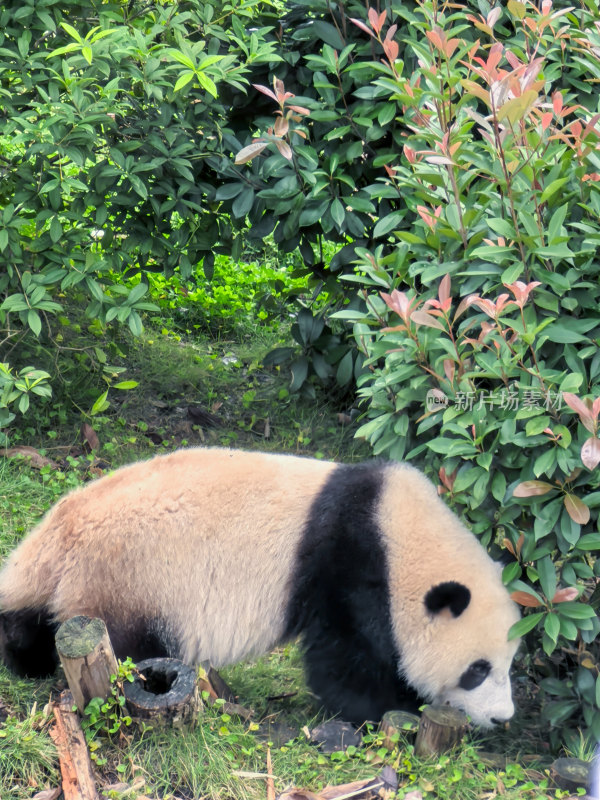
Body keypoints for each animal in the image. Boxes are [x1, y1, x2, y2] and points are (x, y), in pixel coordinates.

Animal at [0, 446, 520, 728]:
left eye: (508, 664)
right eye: (477, 669)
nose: (503, 718)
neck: (400, 533)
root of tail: (61, 526)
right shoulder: (351, 566)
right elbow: (346, 662)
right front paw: (393, 709)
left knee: (29, 618)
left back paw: (26, 661)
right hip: (128, 578)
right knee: (130, 645)